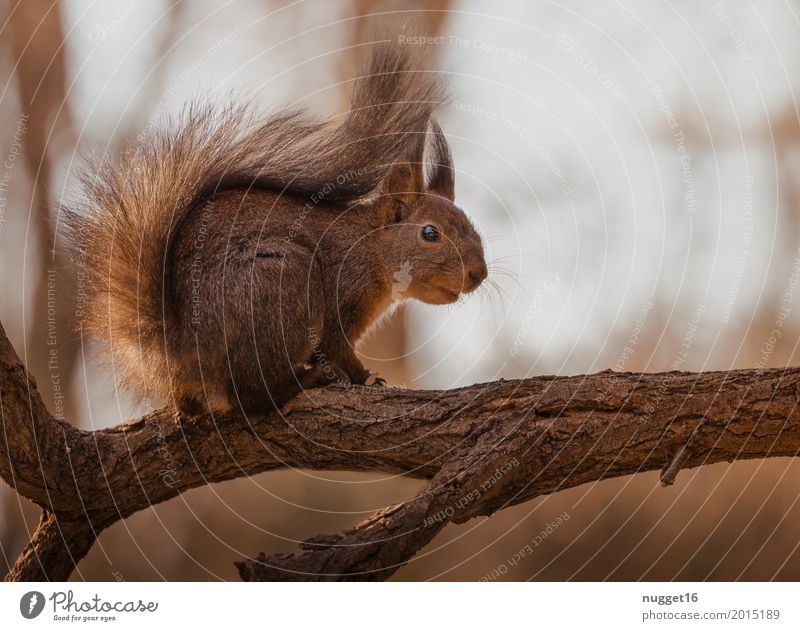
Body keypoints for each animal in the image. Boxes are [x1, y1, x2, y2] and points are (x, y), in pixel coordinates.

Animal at [67, 40, 488, 414]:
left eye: (473, 227)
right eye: (430, 234)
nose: (478, 274)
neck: (369, 249)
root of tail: (181, 347)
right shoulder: (340, 300)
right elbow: (337, 349)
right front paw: (366, 377)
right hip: (284, 282)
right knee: (253, 396)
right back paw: (304, 381)